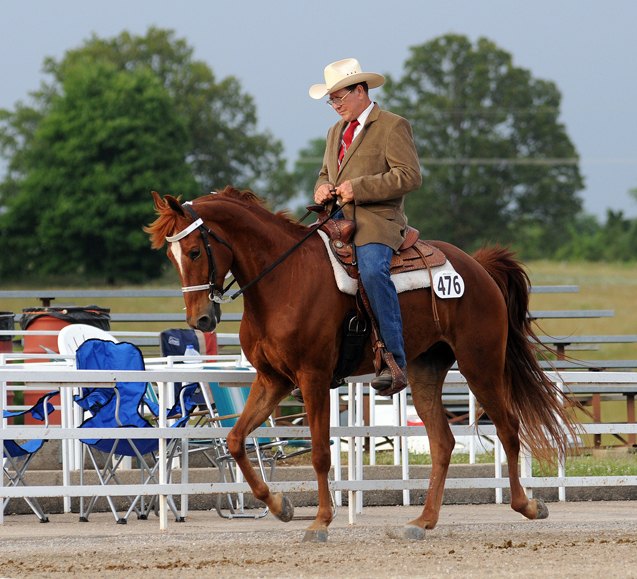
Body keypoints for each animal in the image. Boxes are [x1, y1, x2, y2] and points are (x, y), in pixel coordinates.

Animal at [145, 189, 576, 544]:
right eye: (170, 255)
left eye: (195, 252)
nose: (200, 320)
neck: (284, 279)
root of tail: (478, 267)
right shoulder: (274, 380)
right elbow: (236, 440)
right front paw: (280, 506)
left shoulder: (313, 378)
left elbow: (321, 452)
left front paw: (320, 522)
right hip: (425, 370)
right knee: (443, 442)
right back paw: (422, 521)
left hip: (480, 363)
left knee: (508, 428)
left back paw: (527, 505)